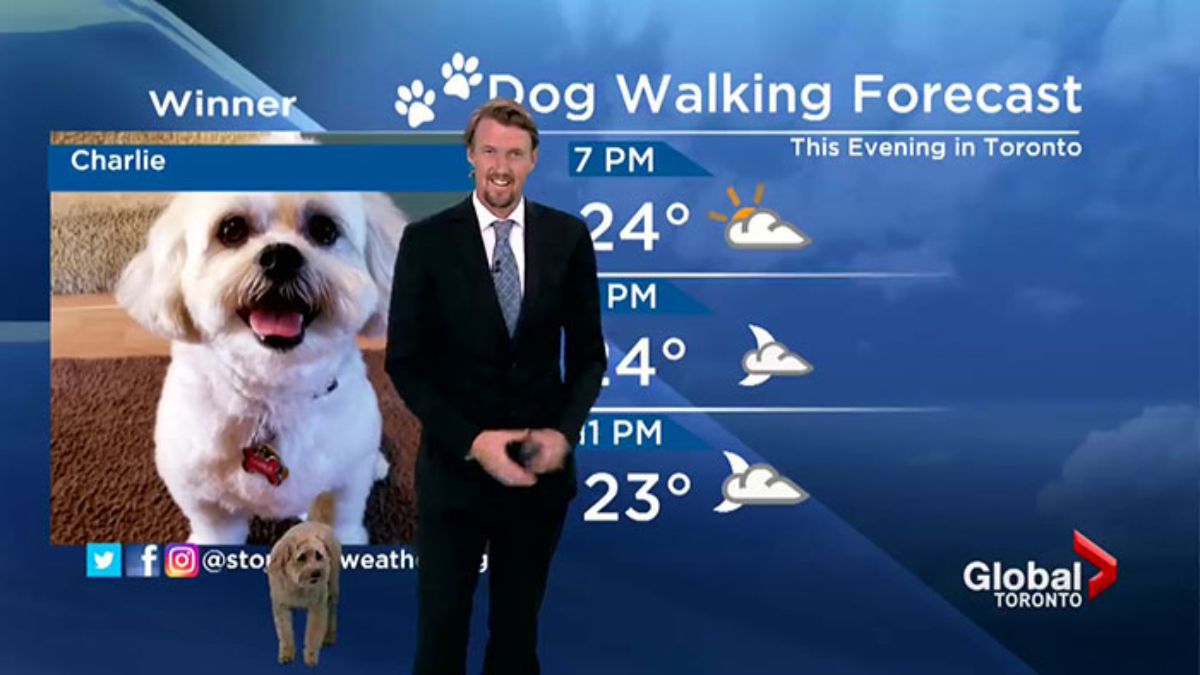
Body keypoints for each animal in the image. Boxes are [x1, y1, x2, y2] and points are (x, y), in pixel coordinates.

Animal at [117, 189, 408, 540]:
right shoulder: (202, 497)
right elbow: (215, 533)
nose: (281, 257)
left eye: (324, 229)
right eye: (231, 229)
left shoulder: (344, 484)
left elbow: (339, 523)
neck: (275, 391)